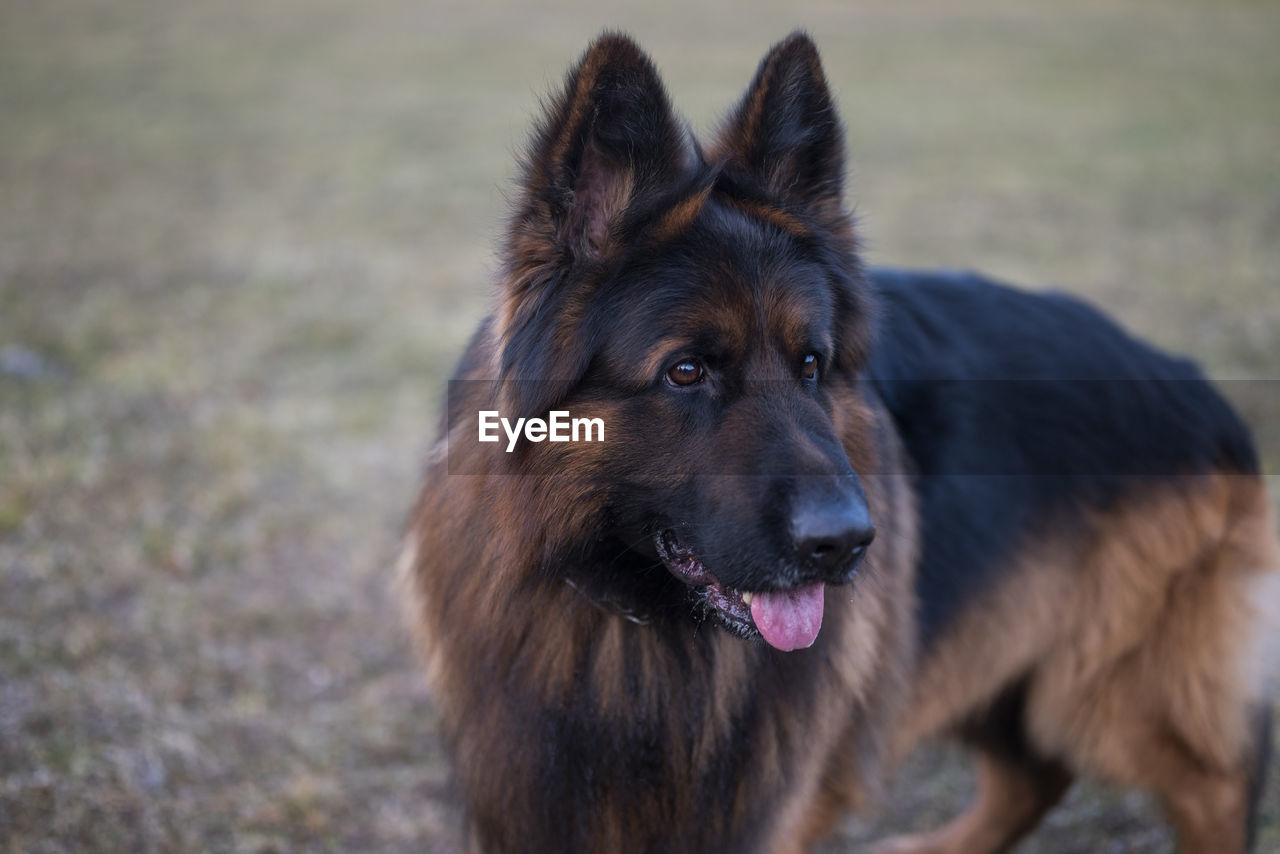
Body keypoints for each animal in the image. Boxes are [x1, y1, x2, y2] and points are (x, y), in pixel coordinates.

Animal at [401, 31, 1280, 854]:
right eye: (686, 371)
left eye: (812, 364)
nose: (848, 543)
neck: (633, 620)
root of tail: (1187, 375)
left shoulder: (770, 812)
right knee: (1033, 775)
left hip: (1105, 691)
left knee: (1210, 783)